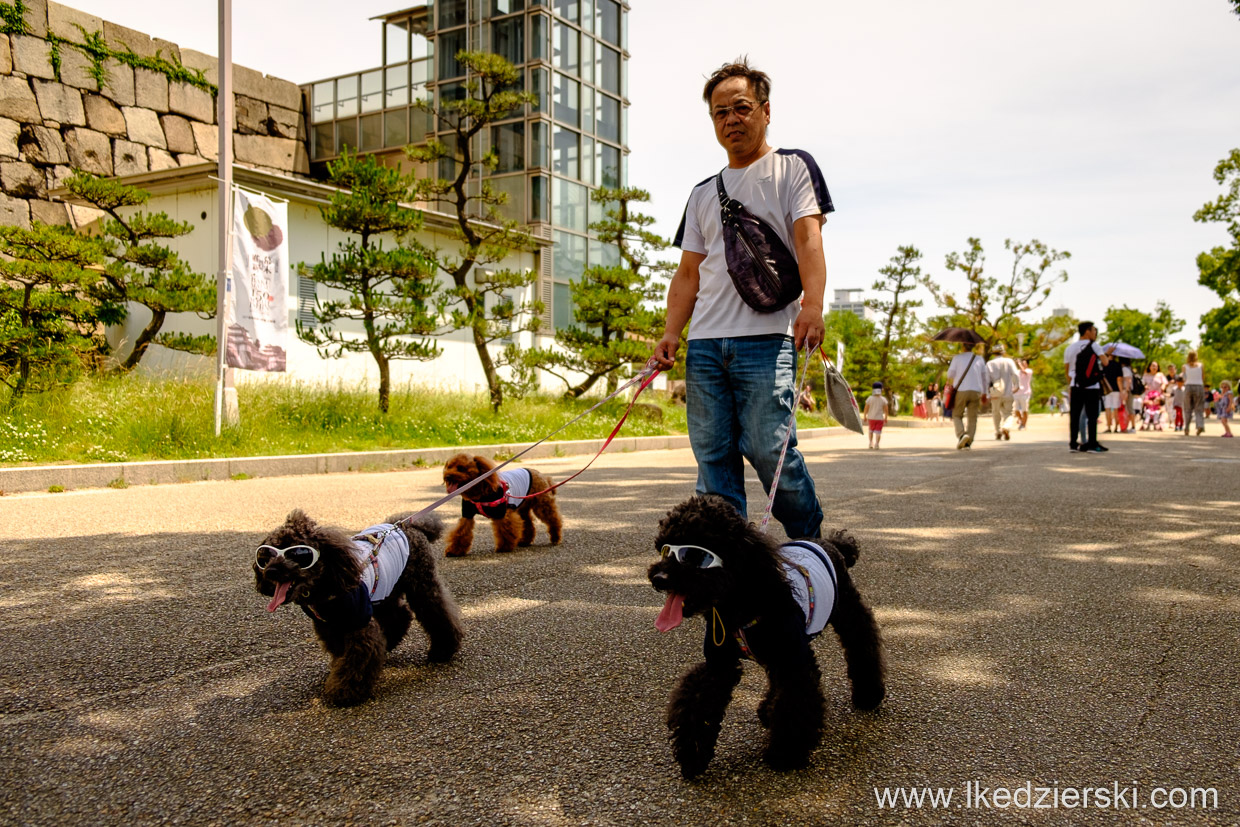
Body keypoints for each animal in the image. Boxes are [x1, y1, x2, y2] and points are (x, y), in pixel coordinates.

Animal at [255, 510, 466, 704]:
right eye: (266, 556)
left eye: (298, 554)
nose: (271, 570)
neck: (325, 588)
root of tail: (405, 525)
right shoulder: (329, 626)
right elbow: (341, 653)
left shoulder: (359, 622)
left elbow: (356, 658)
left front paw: (343, 691)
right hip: (385, 589)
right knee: (399, 616)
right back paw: (390, 643)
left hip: (420, 584)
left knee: (436, 611)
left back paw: (442, 650)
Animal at [644, 495, 887, 778]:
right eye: (665, 549)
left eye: (696, 554)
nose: (659, 578)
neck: (741, 607)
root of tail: (830, 543)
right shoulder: (719, 663)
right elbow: (697, 702)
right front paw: (692, 754)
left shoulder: (793, 661)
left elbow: (795, 701)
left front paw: (785, 754)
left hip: (847, 612)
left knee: (863, 643)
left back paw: (868, 695)